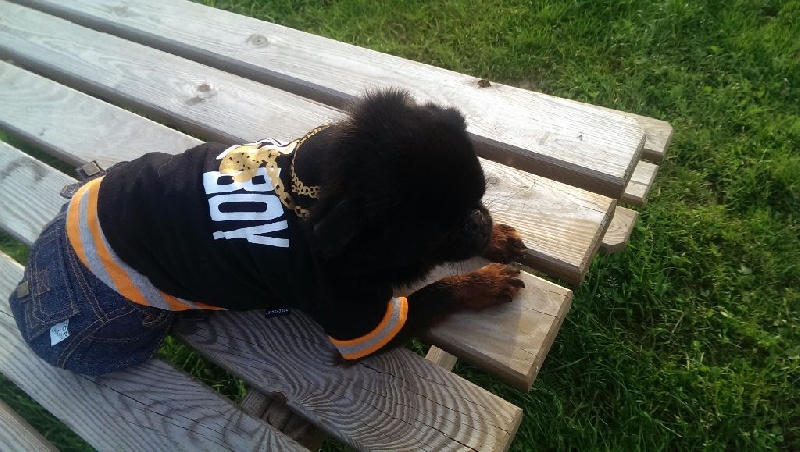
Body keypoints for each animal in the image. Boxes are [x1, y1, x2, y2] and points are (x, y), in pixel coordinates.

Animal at [8, 89, 526, 375]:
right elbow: (436, 293)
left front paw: (497, 238)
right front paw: (483, 281)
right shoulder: (359, 323)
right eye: (438, 233)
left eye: (479, 198)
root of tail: (38, 270)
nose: (477, 222)